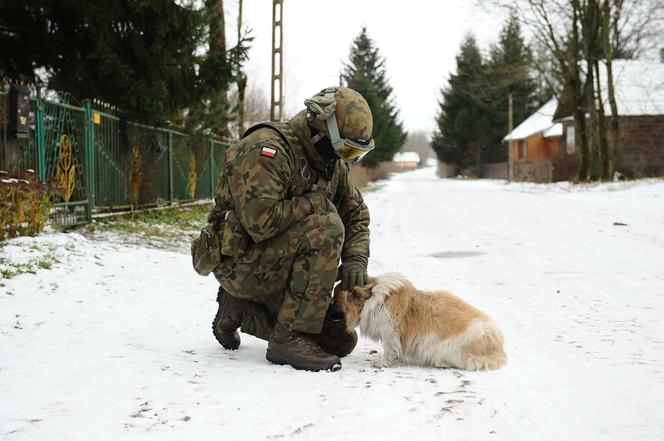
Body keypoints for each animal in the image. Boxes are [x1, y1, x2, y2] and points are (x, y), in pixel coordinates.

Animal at [334, 270, 506, 370]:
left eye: (335, 298)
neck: (370, 299)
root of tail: (496, 346)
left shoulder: (389, 332)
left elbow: (389, 350)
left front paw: (382, 363)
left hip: (448, 347)